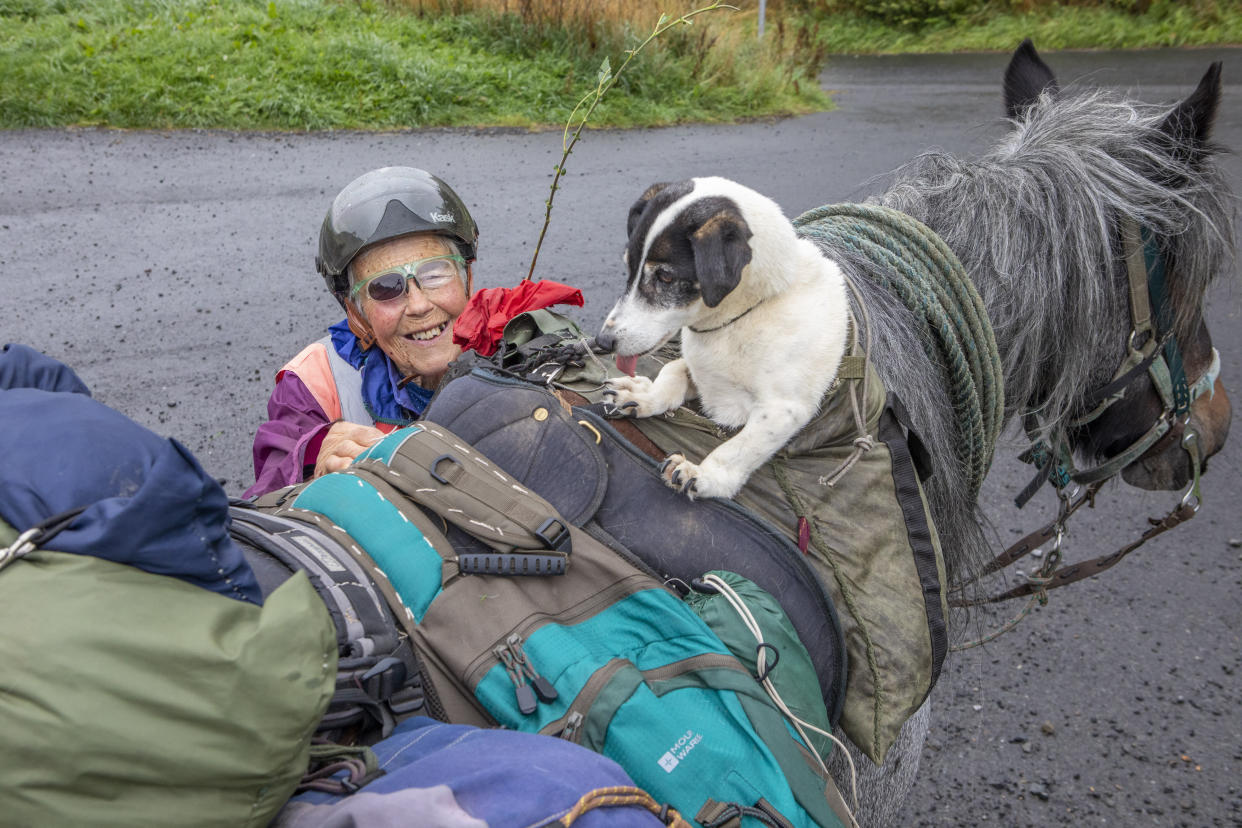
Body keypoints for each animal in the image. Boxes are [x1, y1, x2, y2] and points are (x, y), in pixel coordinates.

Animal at [593, 177, 849, 499]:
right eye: (629, 267)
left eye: (665, 277)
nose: (602, 342)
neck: (742, 319)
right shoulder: (698, 370)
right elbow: (672, 370)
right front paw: (645, 397)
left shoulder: (785, 409)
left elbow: (739, 448)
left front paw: (705, 475)